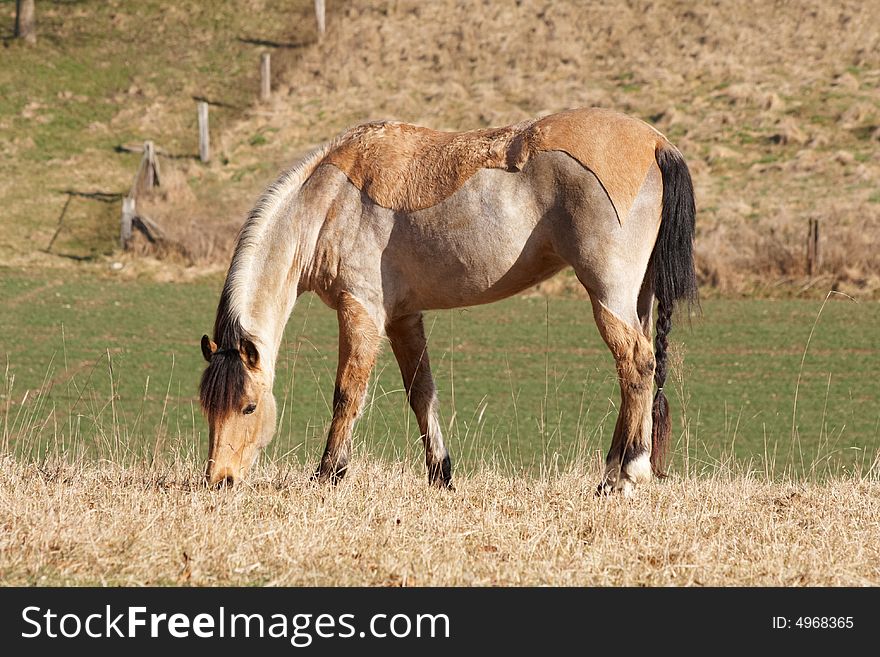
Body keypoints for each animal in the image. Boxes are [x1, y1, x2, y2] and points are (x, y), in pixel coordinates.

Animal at [198, 107, 696, 494]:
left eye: (248, 406)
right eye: (207, 407)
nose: (219, 480)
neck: (329, 200)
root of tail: (656, 143)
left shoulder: (361, 310)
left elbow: (348, 393)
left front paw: (328, 474)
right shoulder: (402, 318)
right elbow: (422, 393)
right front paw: (440, 475)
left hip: (608, 295)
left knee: (636, 363)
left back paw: (622, 476)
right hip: (638, 299)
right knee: (640, 368)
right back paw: (620, 469)